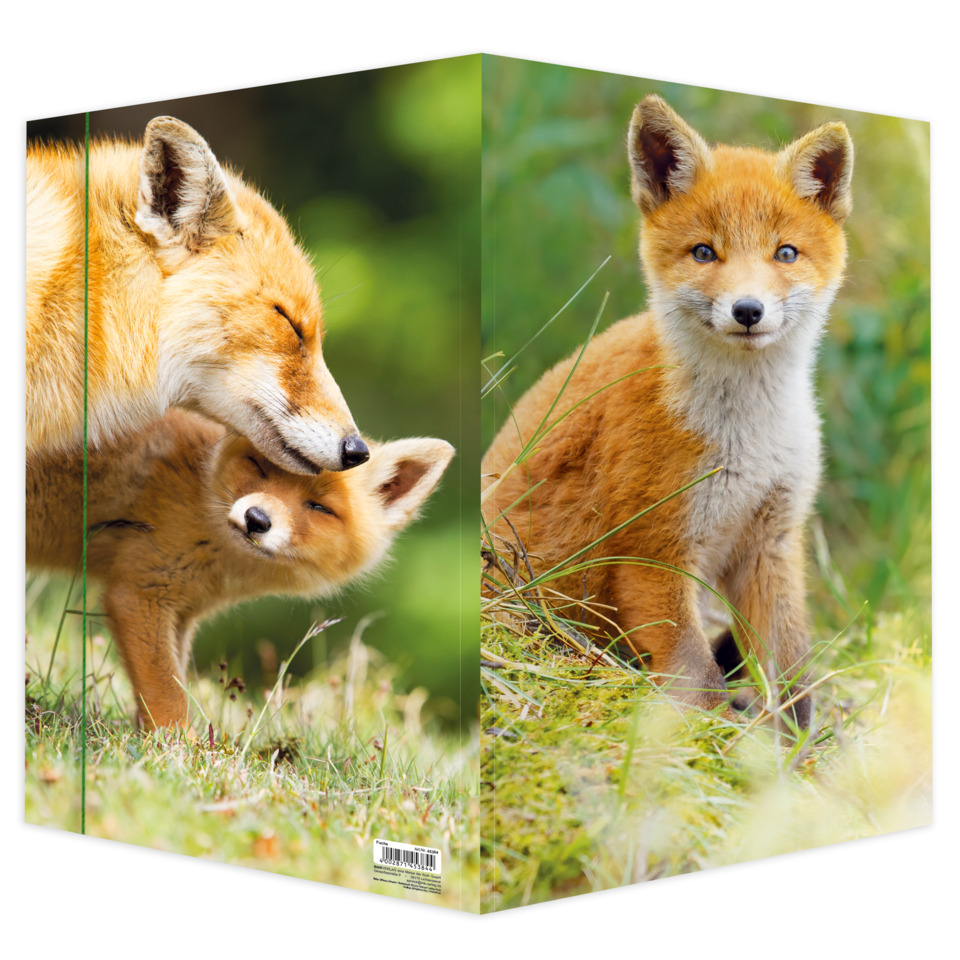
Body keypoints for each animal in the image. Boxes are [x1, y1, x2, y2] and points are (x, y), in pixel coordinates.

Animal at [27, 408, 454, 728]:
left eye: (319, 507)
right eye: (260, 467)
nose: (256, 519)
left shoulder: (182, 613)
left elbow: (173, 681)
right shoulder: (138, 594)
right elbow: (167, 693)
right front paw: (179, 750)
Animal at [482, 95, 854, 727]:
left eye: (785, 253)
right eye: (705, 252)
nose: (748, 310)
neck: (749, 437)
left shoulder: (771, 541)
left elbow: (792, 675)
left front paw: (801, 748)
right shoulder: (653, 549)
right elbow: (699, 680)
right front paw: (708, 742)